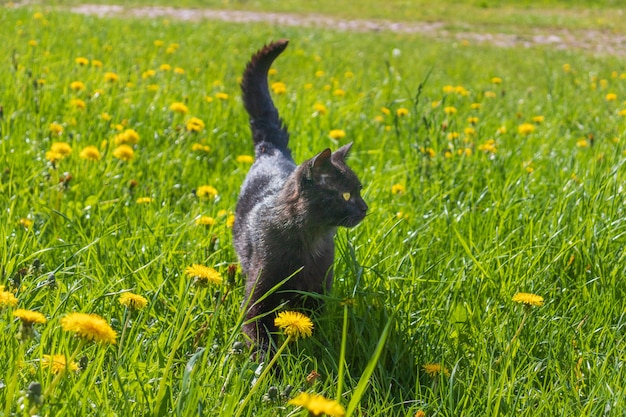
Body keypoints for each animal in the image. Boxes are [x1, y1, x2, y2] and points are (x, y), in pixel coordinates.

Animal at [233, 40, 366, 350]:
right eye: (345, 196)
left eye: (360, 190)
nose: (366, 208)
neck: (310, 238)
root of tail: (271, 150)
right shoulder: (259, 295)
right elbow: (259, 333)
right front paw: (267, 361)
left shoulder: (317, 291)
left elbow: (313, 326)